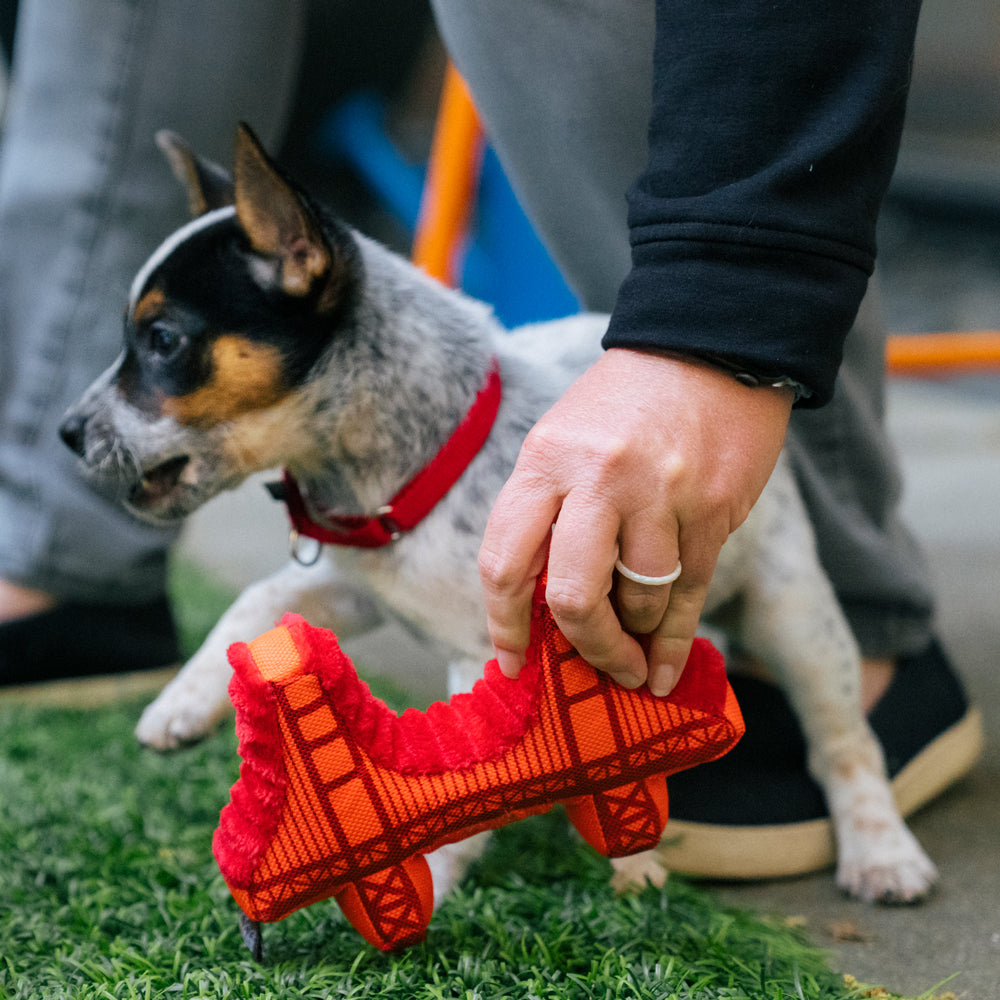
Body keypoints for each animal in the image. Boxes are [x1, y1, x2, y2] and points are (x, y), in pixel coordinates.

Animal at [60, 125, 936, 908]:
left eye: (163, 340)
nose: (66, 432)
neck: (405, 473)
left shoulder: (492, 652)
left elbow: (465, 778)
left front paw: (430, 878)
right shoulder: (359, 585)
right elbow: (255, 602)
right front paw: (183, 701)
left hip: (794, 609)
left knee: (847, 743)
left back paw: (879, 852)